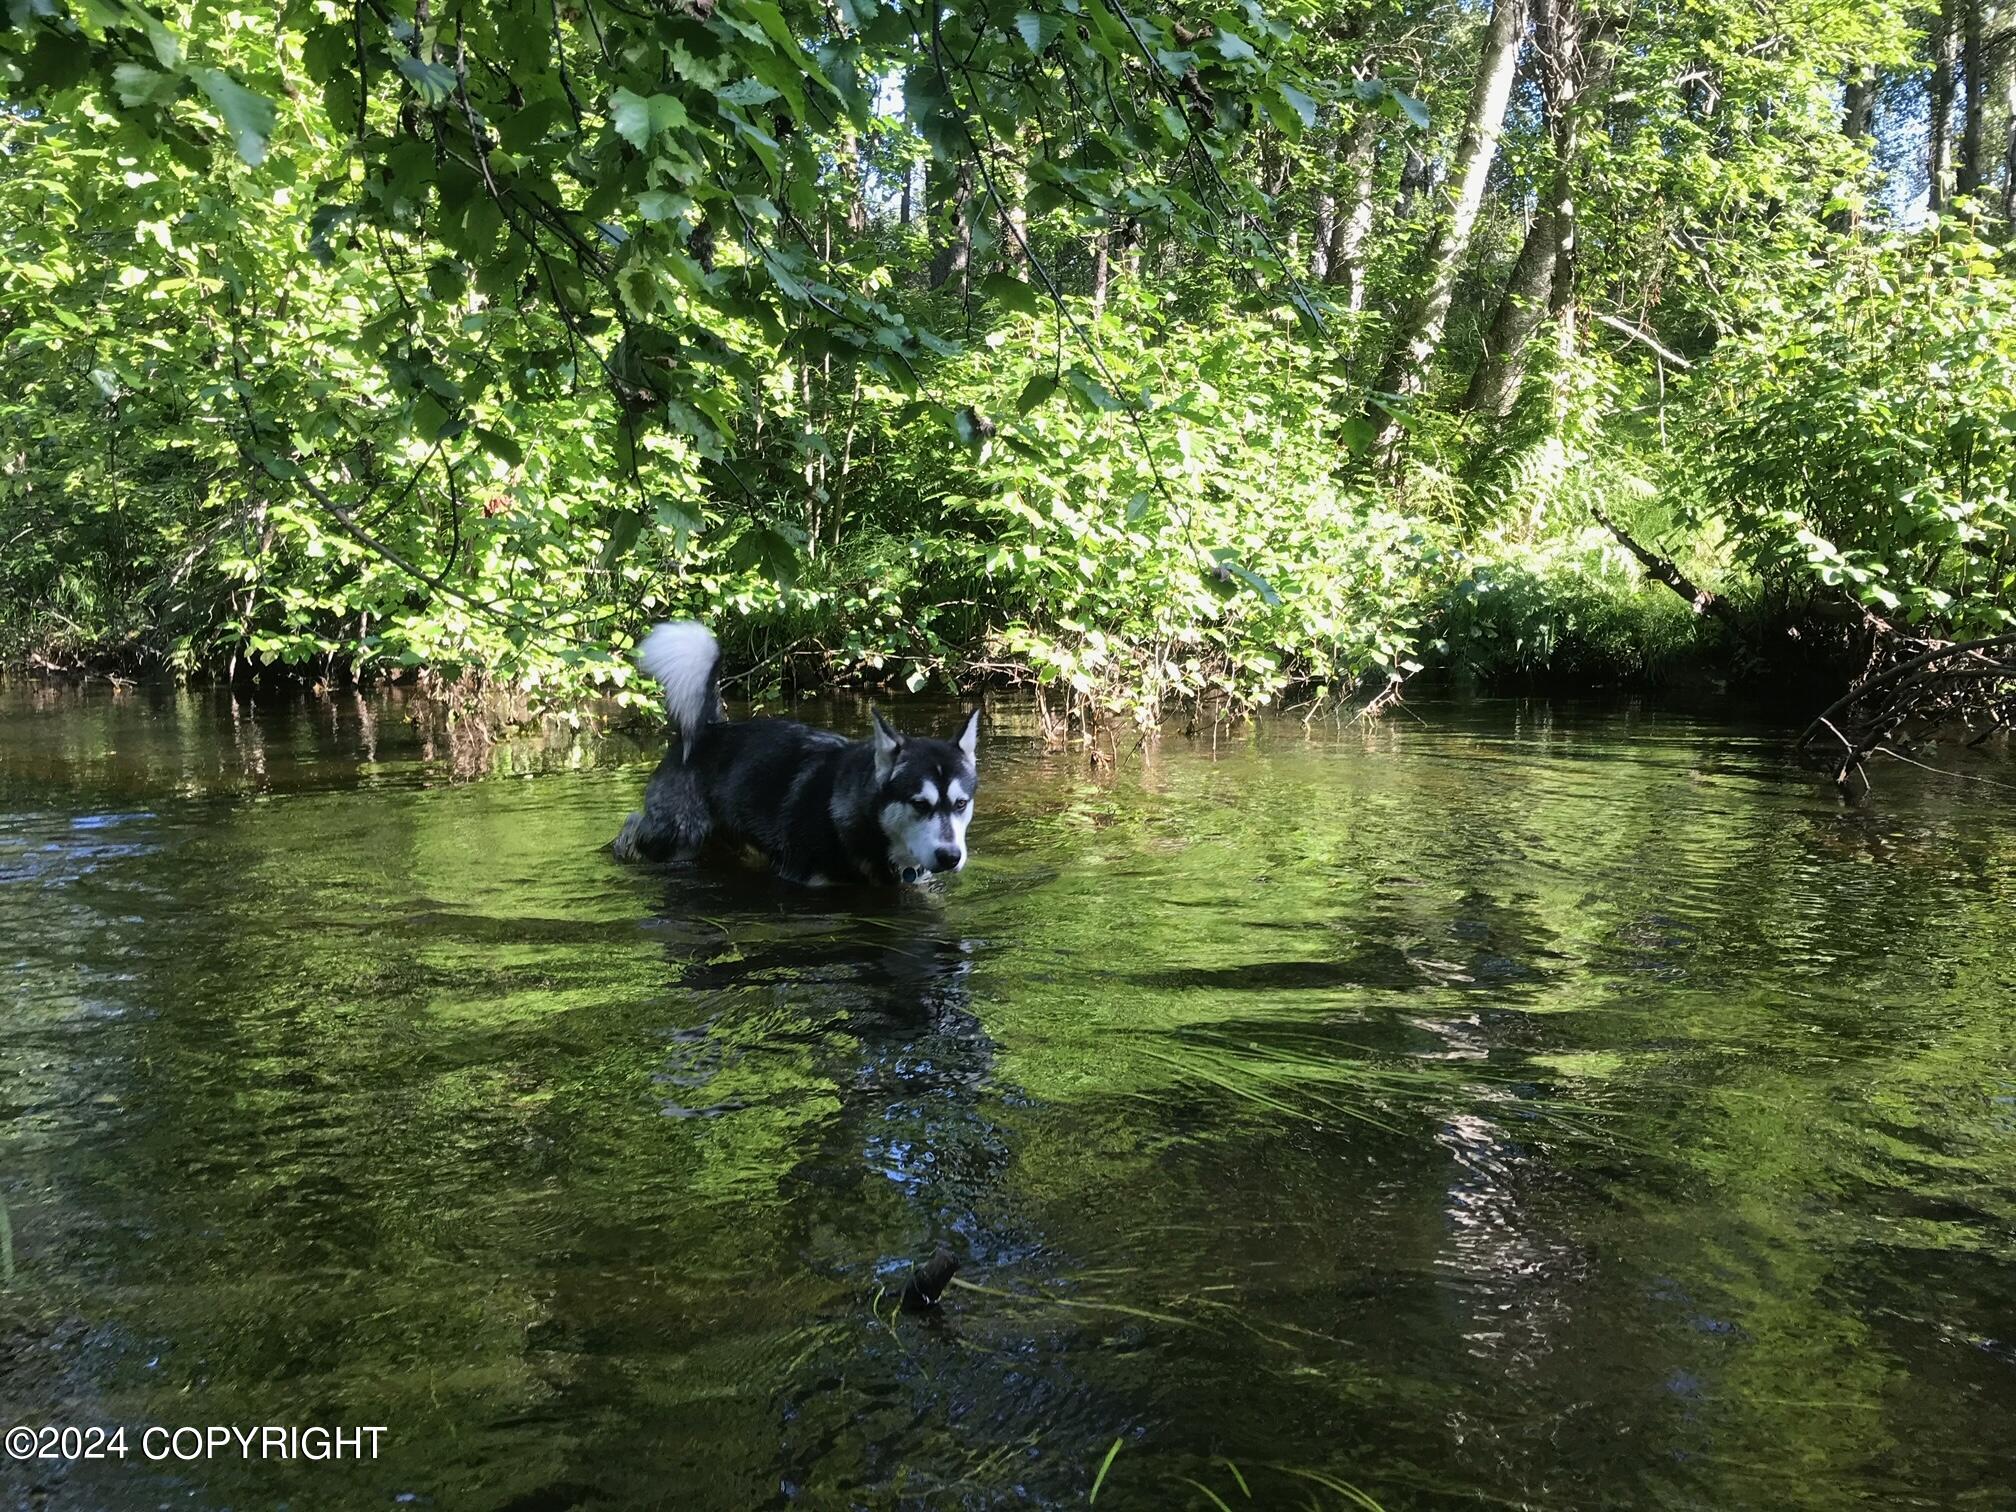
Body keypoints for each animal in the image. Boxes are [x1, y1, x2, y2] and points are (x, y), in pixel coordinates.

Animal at [616, 624, 979, 895]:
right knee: (633, 828)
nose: (950, 857)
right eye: (919, 803)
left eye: (961, 804)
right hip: (675, 838)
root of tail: (707, 729)